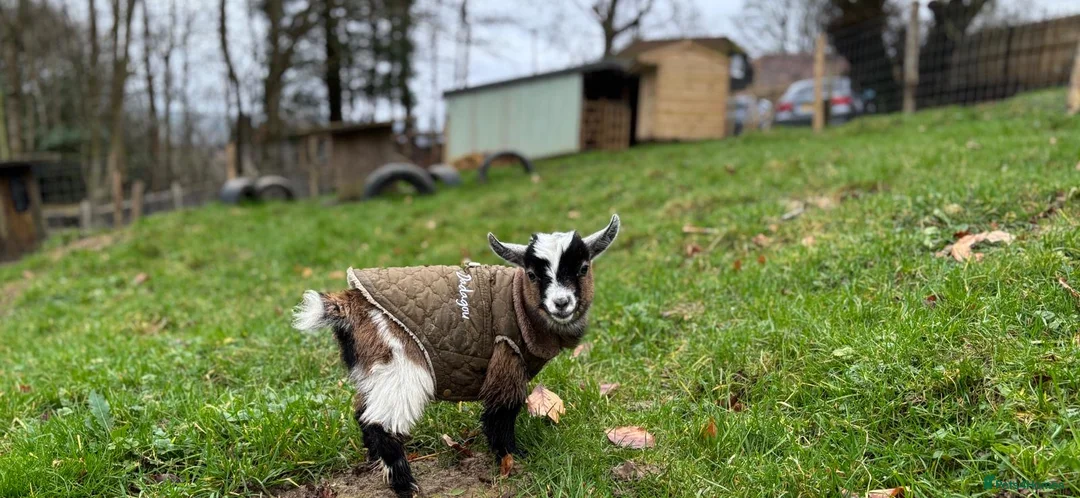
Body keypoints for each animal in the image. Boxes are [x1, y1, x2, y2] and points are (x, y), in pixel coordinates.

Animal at [292, 214, 620, 497]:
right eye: (532, 274)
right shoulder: (506, 355)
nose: (561, 303)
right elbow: (502, 411)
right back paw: (403, 483)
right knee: (381, 422)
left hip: (373, 369)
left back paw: (376, 461)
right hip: (400, 364)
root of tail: (349, 304)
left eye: (583, 268)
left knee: (363, 412)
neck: (519, 303)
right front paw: (513, 455)